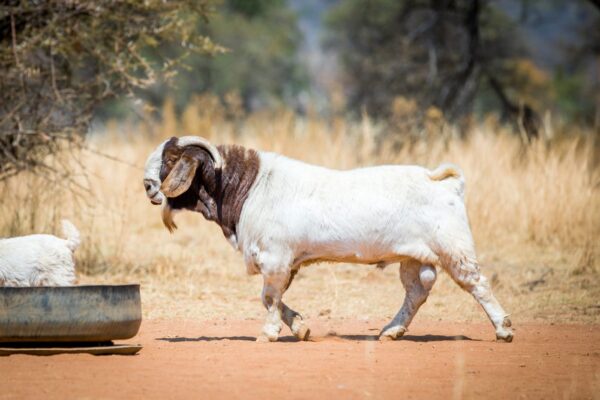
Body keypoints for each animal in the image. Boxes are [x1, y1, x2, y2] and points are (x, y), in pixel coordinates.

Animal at [143, 138, 512, 344]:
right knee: (417, 290)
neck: (248, 186)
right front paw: (300, 327)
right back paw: (391, 330)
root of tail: (446, 184)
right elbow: (272, 298)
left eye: (170, 160)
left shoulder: (275, 258)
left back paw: (504, 329)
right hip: (414, 256)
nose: (147, 185)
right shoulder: (285, 263)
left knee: (477, 283)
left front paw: (268, 334)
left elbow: (268, 298)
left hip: (454, 248)